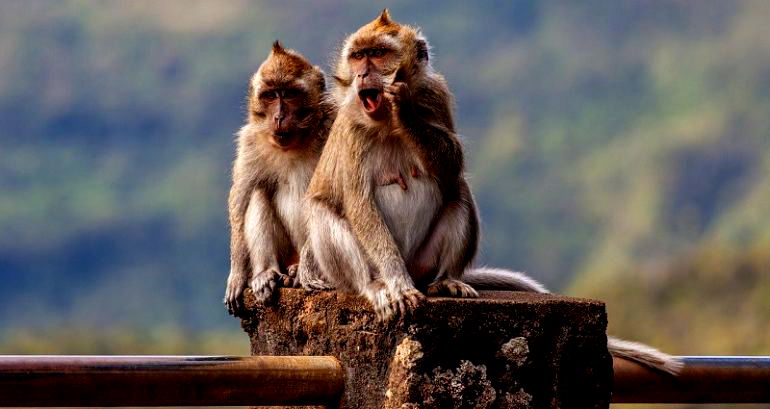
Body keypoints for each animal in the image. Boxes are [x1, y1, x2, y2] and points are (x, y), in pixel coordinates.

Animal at [220, 41, 332, 314]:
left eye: (289, 94)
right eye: (270, 96)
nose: (279, 117)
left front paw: (306, 272)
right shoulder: (250, 141)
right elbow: (240, 198)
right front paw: (237, 274)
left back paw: (298, 270)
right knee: (258, 191)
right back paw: (266, 273)